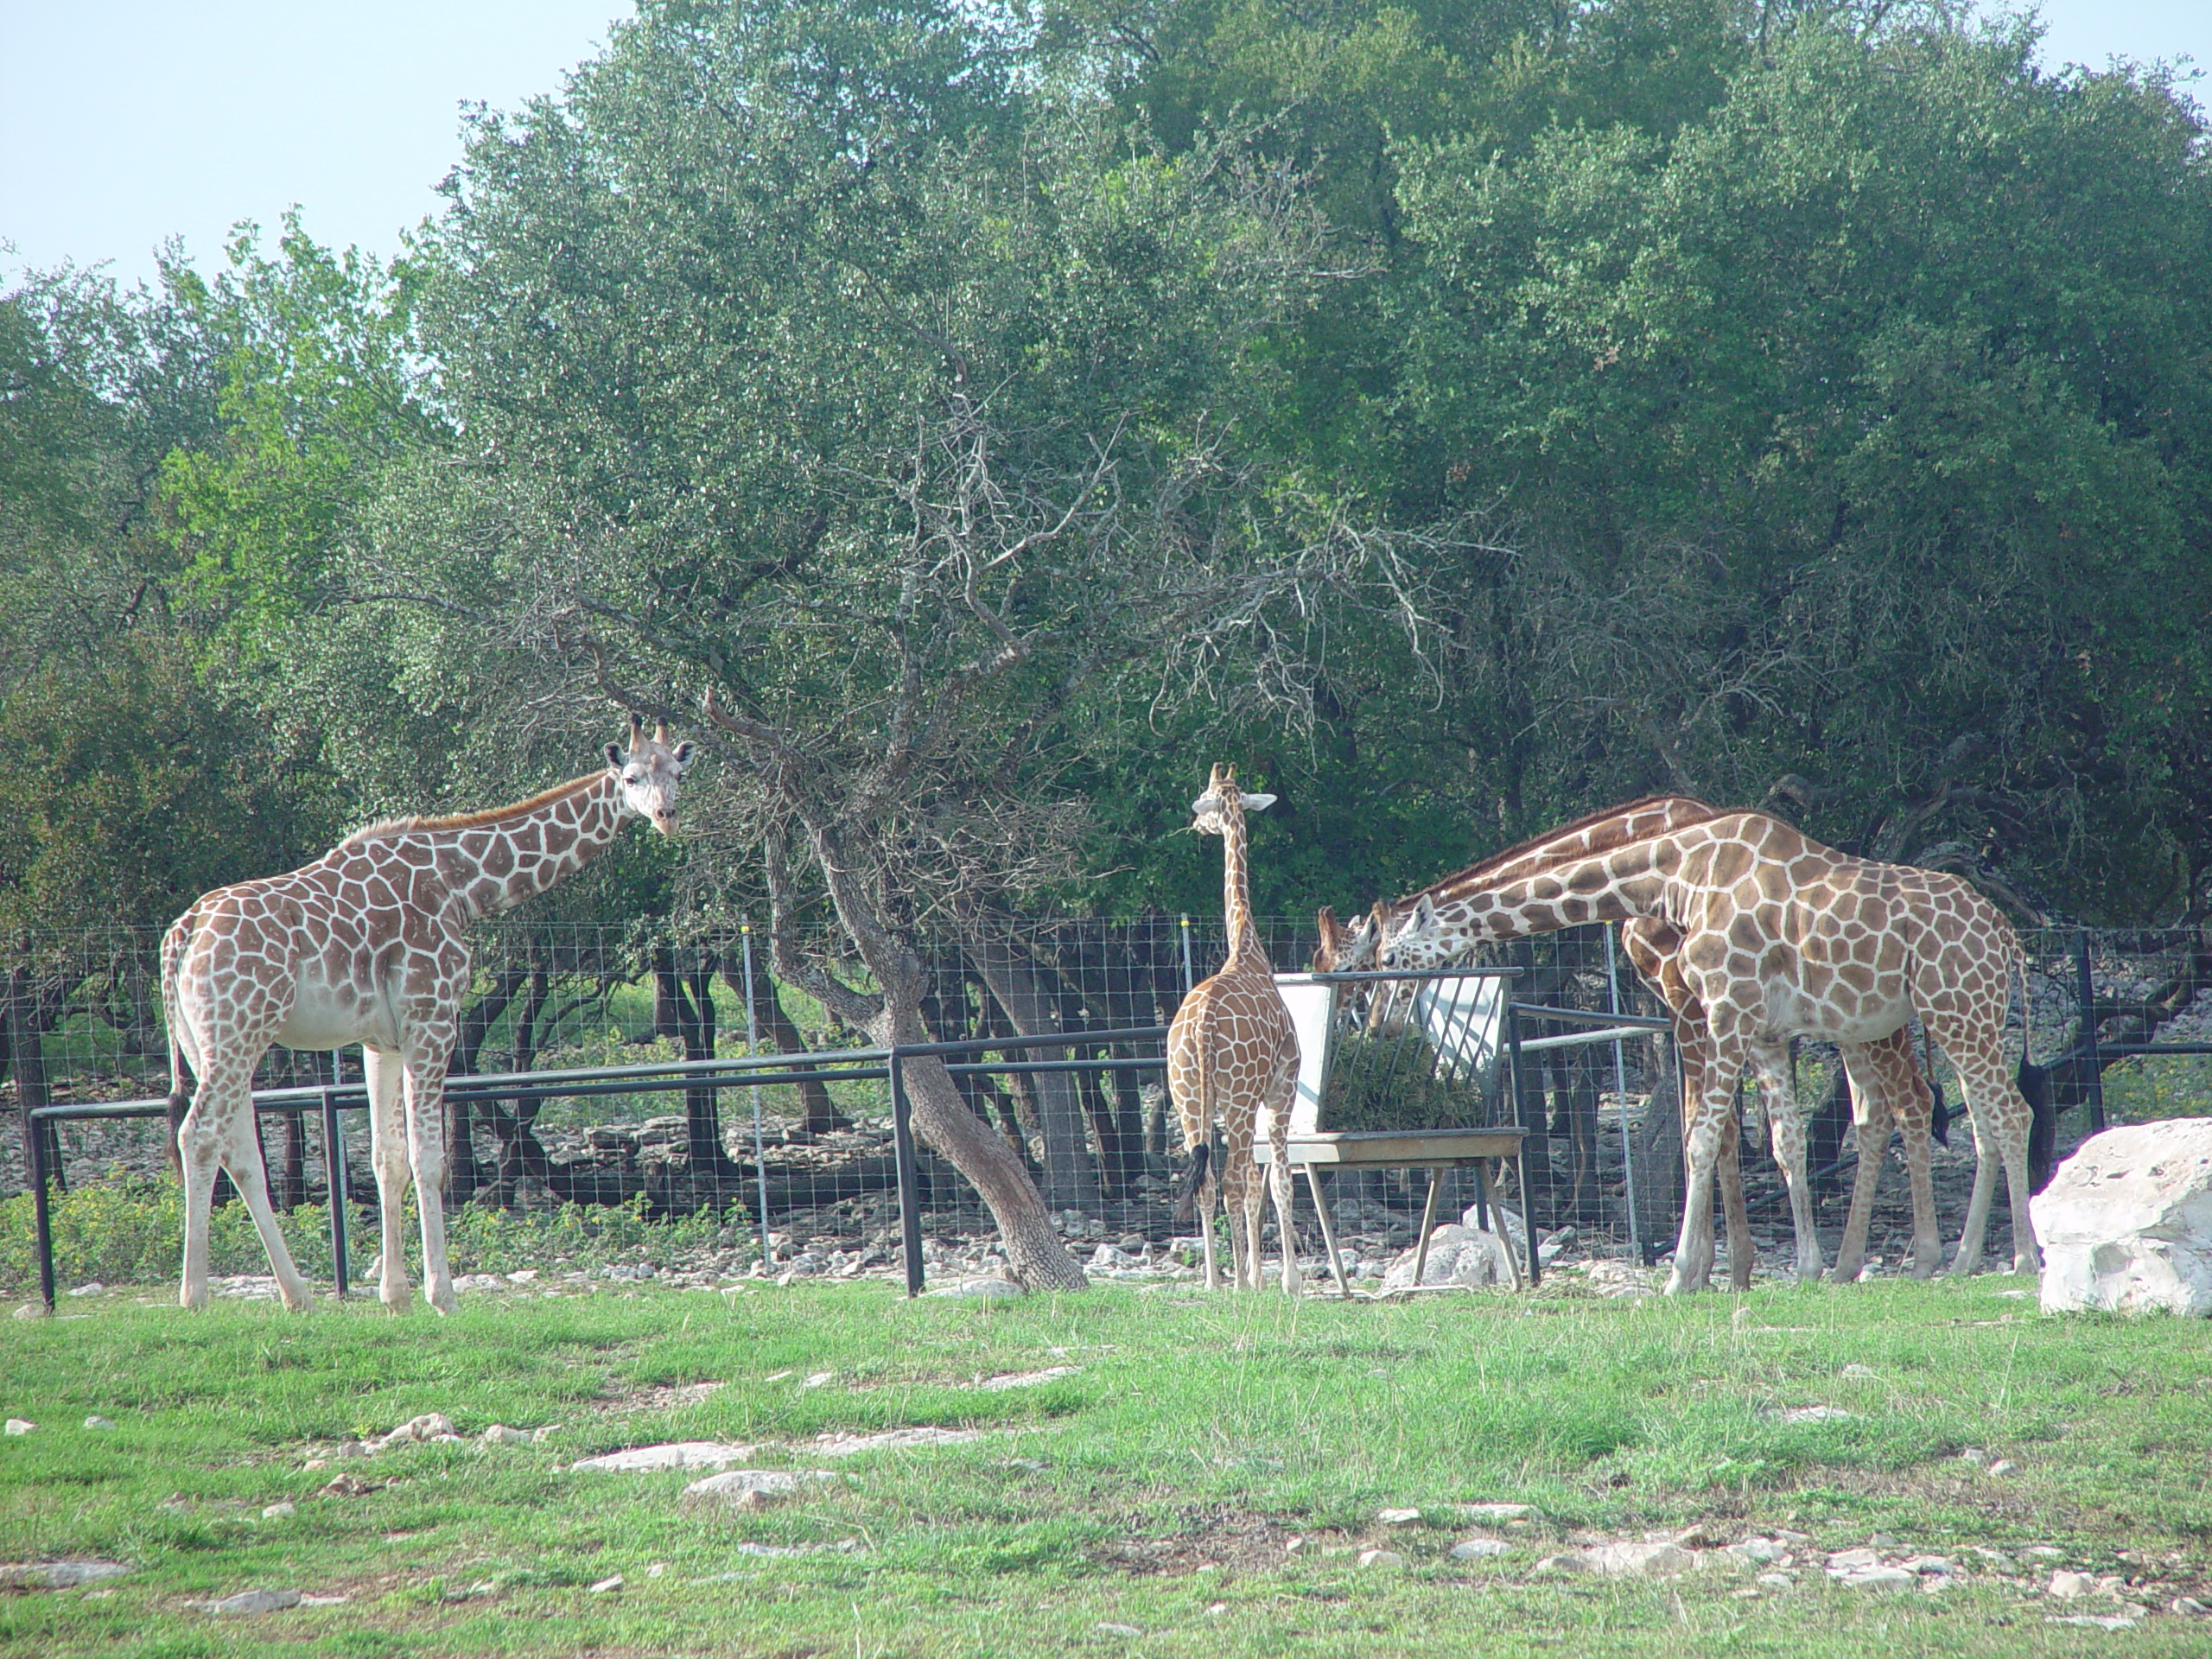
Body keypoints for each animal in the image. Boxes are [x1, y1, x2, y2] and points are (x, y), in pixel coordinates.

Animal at [163, 721, 690, 1318]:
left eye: (679, 772)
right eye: (631, 777)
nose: (668, 816)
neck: (462, 887)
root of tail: (181, 934)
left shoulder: (380, 1041)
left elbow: (388, 1157)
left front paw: (395, 1295)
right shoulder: (433, 1019)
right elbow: (429, 1160)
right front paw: (443, 1294)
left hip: (215, 1042)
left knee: (240, 1150)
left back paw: (296, 1296)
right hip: (237, 1030)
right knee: (198, 1135)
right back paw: (194, 1296)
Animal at [1380, 814, 2035, 1292]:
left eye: (1389, 953)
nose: (1383, 1020)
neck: (1676, 875)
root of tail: (2007, 934)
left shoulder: (1721, 1011)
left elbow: (1699, 1140)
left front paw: (1680, 1278)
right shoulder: (1761, 1031)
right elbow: (1782, 1144)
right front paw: (1804, 1270)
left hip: (1953, 1009)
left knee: (2007, 1113)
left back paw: (2020, 1260)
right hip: (1961, 1018)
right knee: (1970, 1120)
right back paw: (1958, 1261)